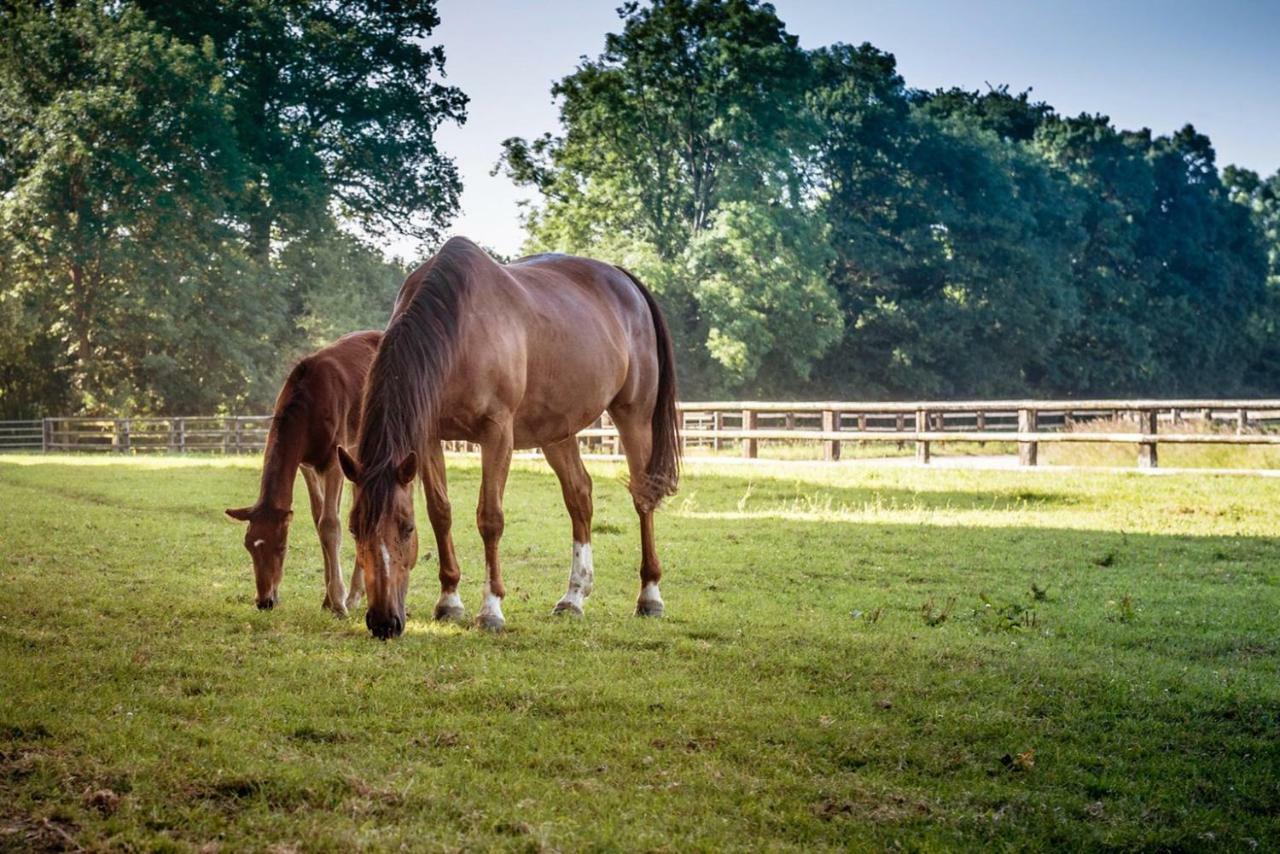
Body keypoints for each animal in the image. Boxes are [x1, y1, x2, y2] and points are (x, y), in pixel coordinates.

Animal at [225, 330, 378, 617]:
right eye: (248, 545)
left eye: (282, 546)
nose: (265, 601)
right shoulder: (307, 465)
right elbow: (319, 520)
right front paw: (327, 600)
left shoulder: (333, 459)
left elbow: (330, 524)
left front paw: (338, 602)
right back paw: (356, 593)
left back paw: (353, 595)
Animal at [337, 236, 680, 637]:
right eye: (354, 527)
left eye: (406, 528)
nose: (383, 622)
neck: (458, 327)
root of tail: (624, 280)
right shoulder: (429, 438)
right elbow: (440, 512)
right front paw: (449, 601)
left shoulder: (497, 432)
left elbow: (490, 518)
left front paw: (491, 609)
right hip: (556, 430)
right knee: (579, 496)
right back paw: (573, 597)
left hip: (634, 415)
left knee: (643, 497)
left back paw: (650, 595)